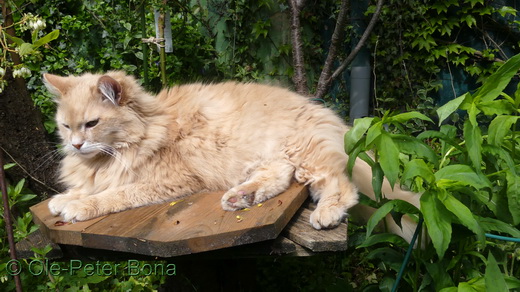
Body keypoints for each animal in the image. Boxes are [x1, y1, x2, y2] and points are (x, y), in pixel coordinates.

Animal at [42, 71, 420, 240]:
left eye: (91, 124)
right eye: (65, 126)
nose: (76, 145)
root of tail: (328, 116)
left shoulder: (168, 181)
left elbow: (113, 194)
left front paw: (79, 206)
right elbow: (88, 188)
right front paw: (65, 198)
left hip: (305, 153)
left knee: (339, 187)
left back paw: (325, 214)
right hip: (270, 156)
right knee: (279, 176)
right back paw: (241, 198)